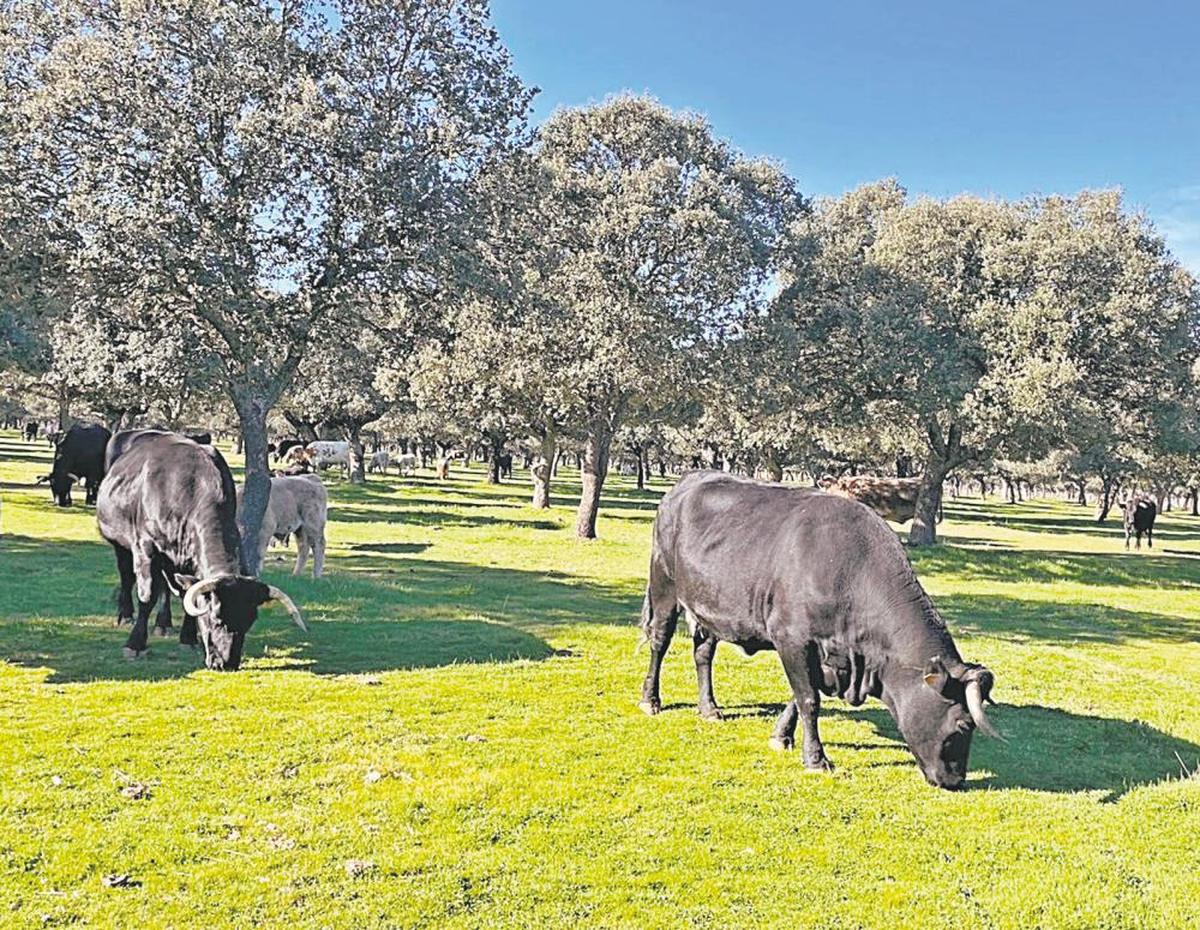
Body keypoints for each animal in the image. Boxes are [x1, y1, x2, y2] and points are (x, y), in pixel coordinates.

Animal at [96, 424, 307, 672]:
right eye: (215, 618)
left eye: (249, 621)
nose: (226, 664)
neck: (186, 486)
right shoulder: (146, 549)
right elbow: (147, 595)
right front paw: (135, 644)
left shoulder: (187, 560)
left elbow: (187, 593)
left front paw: (188, 639)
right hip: (121, 544)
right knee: (127, 576)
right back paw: (125, 615)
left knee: (166, 587)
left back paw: (164, 623)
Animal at [643, 472, 998, 792]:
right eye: (964, 724)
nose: (956, 780)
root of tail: (684, 483)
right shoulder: (791, 638)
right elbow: (809, 699)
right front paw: (815, 759)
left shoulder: (821, 652)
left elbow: (801, 694)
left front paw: (781, 736)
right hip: (664, 584)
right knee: (659, 641)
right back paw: (651, 700)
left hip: (708, 605)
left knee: (703, 652)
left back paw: (709, 709)